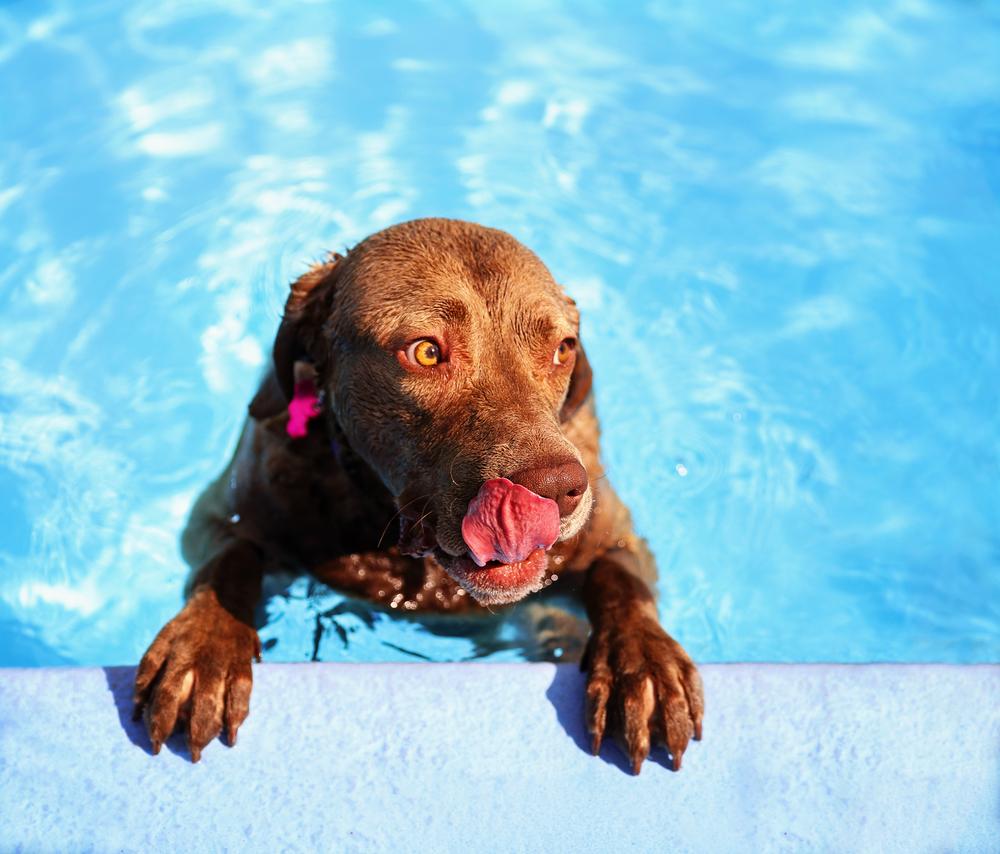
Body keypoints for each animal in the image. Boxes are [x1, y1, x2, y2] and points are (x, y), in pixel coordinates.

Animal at [135, 217, 704, 772]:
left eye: (562, 349)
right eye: (426, 352)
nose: (557, 490)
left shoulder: (617, 540)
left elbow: (620, 578)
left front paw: (646, 664)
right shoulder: (222, 515)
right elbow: (229, 560)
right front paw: (202, 649)